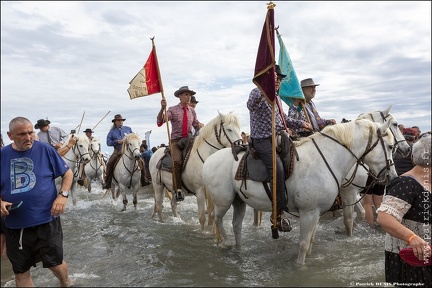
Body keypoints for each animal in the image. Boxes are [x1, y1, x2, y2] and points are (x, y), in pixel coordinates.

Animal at [202, 118, 398, 264]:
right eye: (390, 146)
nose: (392, 177)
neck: (326, 158)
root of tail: (208, 160)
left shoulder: (316, 213)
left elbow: (310, 242)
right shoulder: (309, 212)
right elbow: (303, 244)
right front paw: (300, 267)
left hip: (239, 201)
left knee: (236, 225)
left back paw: (239, 249)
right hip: (224, 201)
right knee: (215, 218)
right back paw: (226, 244)